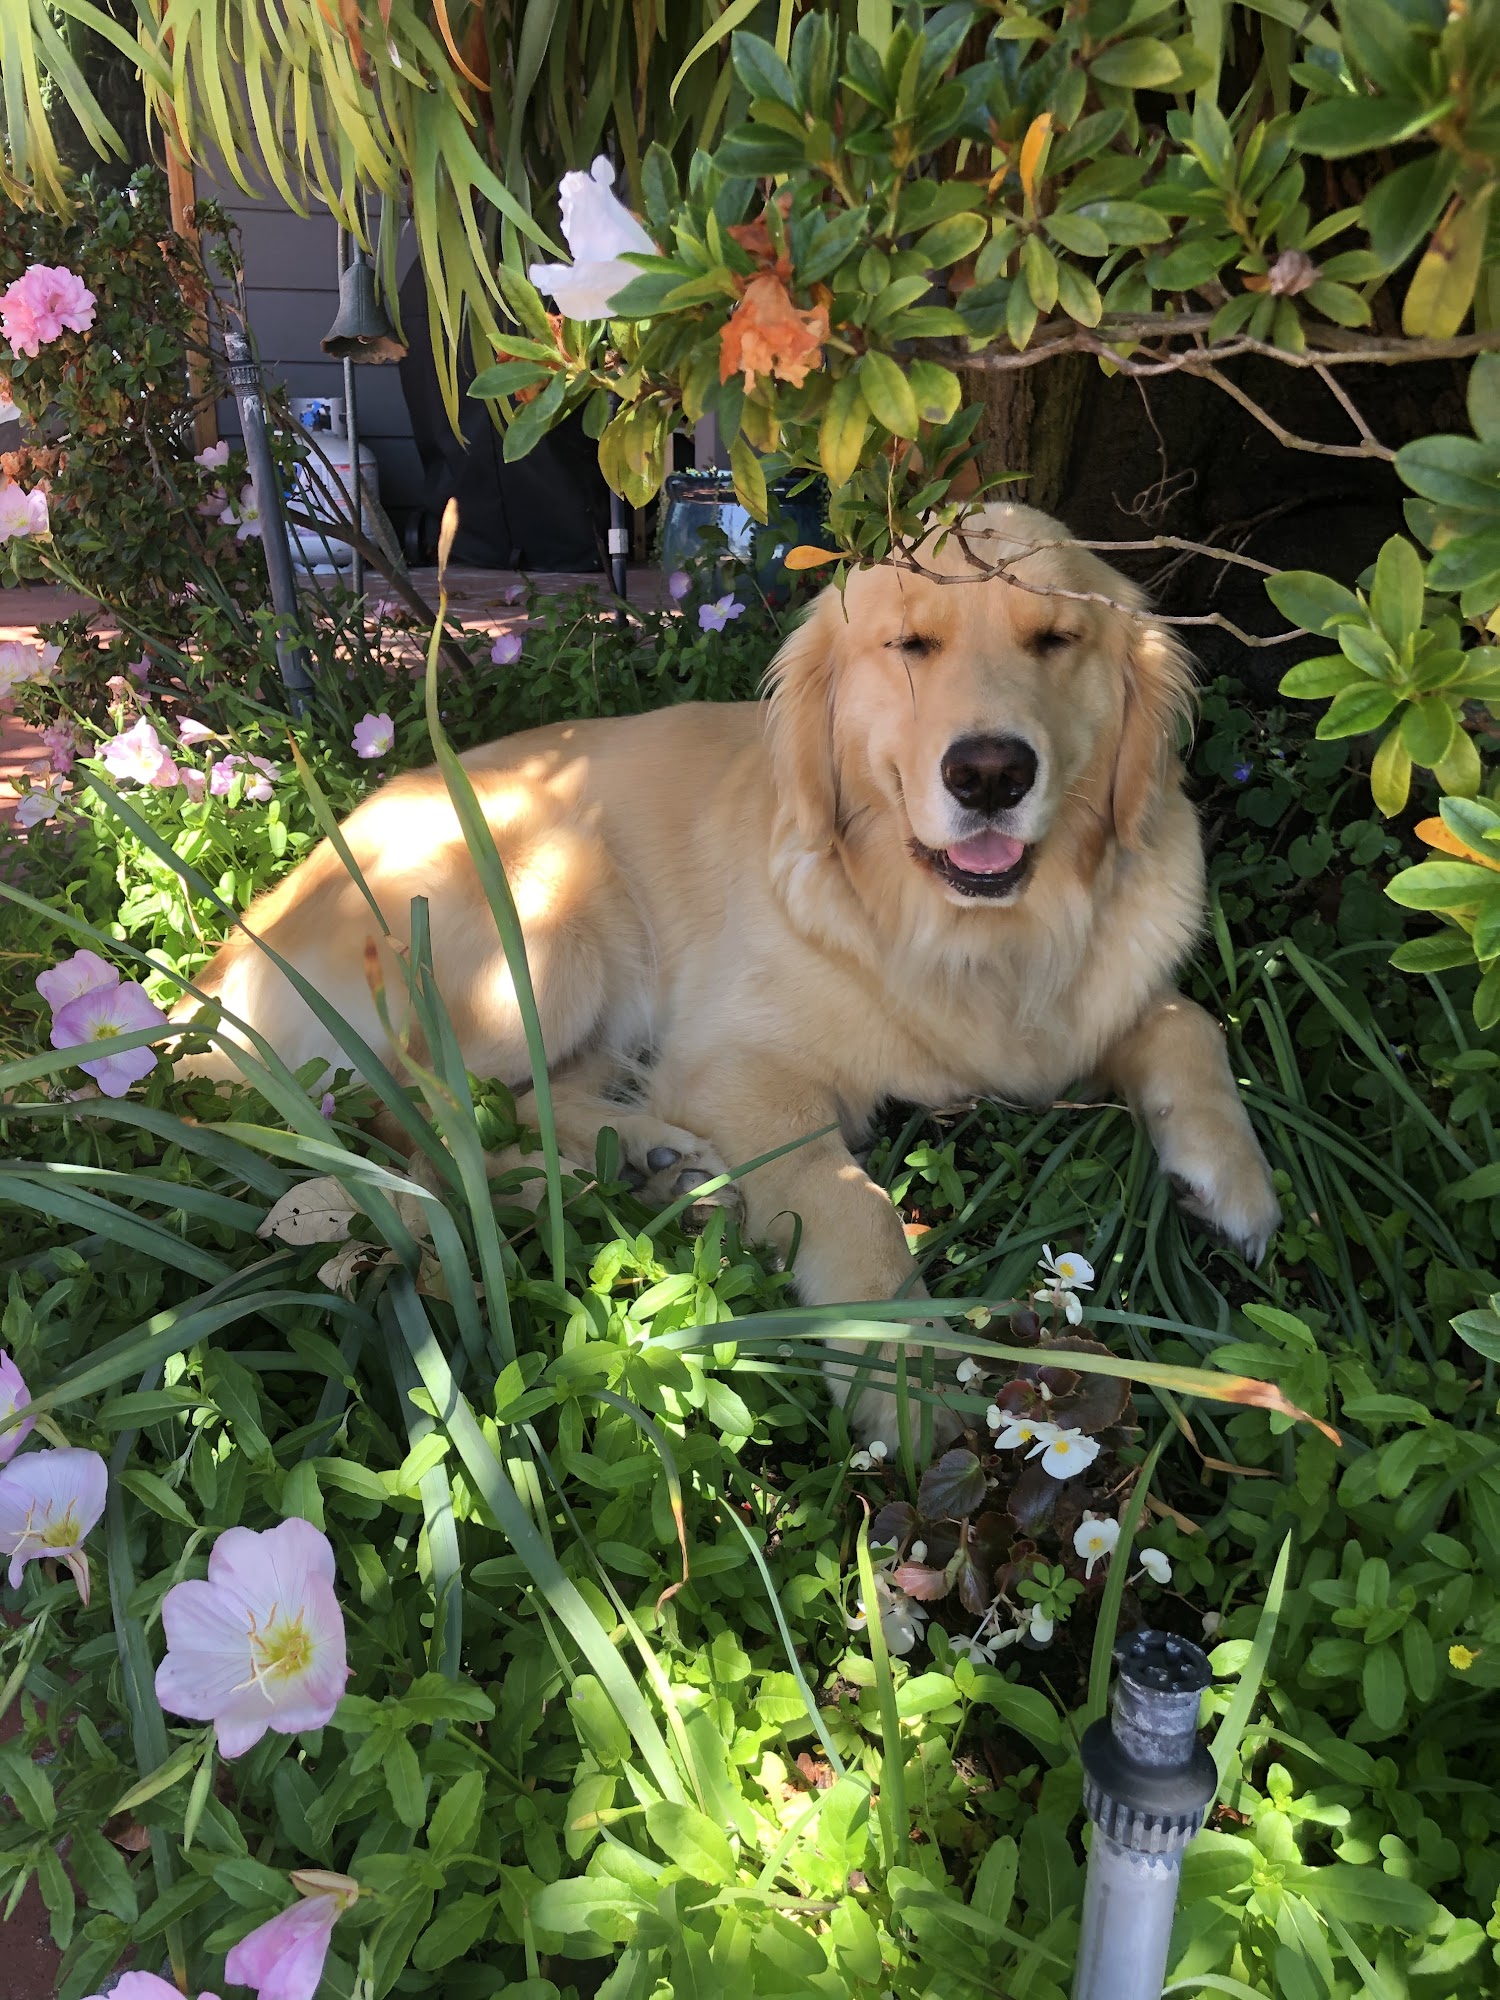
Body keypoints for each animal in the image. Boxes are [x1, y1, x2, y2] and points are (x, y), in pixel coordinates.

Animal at [183, 503, 1279, 1447]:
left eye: (1057, 639)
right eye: (910, 646)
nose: (990, 774)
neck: (975, 937)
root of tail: (236, 949)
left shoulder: (1088, 1007)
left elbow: (1187, 1022)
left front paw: (1231, 1170)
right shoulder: (733, 1064)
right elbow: (853, 1197)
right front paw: (902, 1372)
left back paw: (642, 1159)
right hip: (556, 910)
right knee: (414, 1123)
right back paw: (613, 1169)